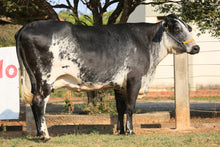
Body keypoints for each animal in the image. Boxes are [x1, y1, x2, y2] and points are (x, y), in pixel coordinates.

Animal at [15, 14, 199, 141]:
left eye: (188, 28)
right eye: (176, 29)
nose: (196, 47)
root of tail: (27, 26)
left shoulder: (120, 85)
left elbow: (120, 108)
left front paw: (121, 131)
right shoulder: (135, 79)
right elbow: (130, 107)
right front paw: (131, 131)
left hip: (34, 79)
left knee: (33, 102)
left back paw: (39, 134)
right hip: (45, 78)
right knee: (39, 102)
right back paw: (45, 136)